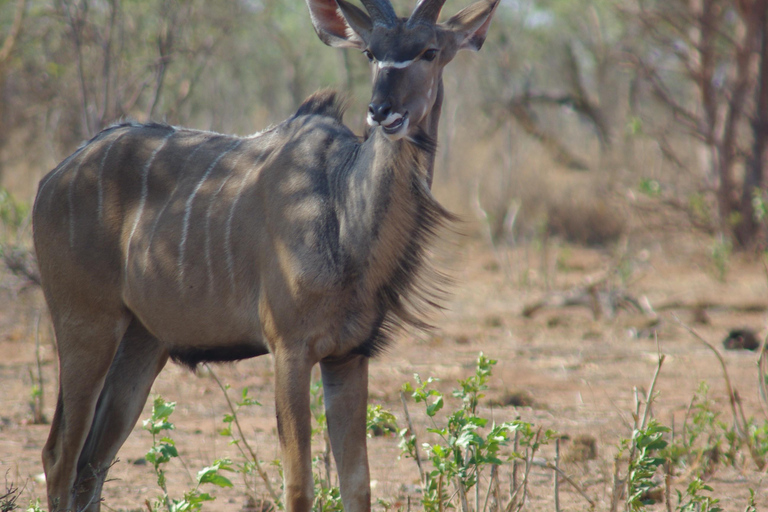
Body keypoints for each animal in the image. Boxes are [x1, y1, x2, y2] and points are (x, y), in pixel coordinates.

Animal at [34, 0, 498, 510]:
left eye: (430, 51)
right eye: (371, 53)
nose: (382, 111)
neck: (342, 208)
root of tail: (53, 177)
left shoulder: (348, 356)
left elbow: (357, 484)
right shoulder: (289, 349)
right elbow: (299, 485)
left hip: (142, 342)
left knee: (91, 465)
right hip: (86, 327)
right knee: (60, 455)